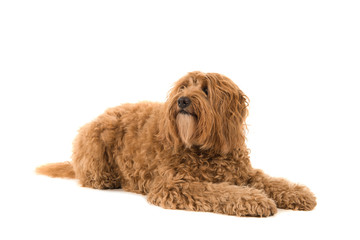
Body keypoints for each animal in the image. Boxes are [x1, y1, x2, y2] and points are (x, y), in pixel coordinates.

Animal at [36, 71, 316, 216]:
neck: (207, 148)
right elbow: (219, 191)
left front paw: (298, 193)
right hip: (97, 146)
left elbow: (271, 181)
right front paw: (255, 200)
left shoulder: (243, 173)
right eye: (183, 87)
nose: (182, 100)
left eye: (205, 90)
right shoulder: (173, 185)